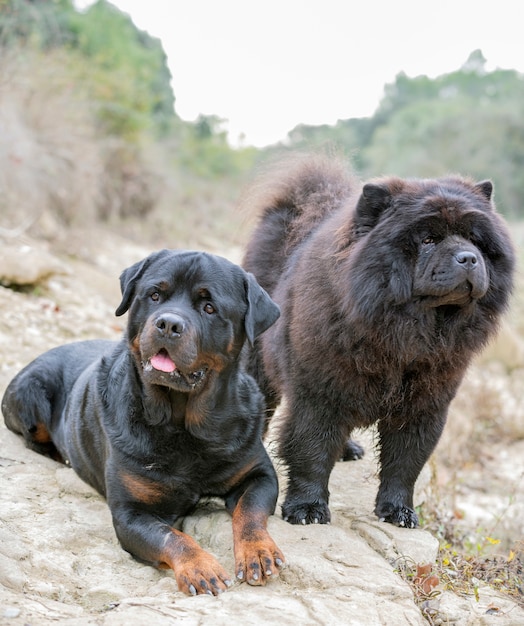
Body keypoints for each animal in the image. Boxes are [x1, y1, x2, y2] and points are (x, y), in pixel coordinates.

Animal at [2, 246, 284, 592]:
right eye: (154, 295)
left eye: (209, 307)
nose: (168, 324)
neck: (182, 425)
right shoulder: (131, 513)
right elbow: (171, 537)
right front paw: (200, 567)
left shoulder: (258, 473)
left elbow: (251, 511)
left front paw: (258, 551)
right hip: (30, 394)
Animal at [243, 154, 516, 524]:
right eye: (427, 240)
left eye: (475, 239)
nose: (469, 258)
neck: (405, 335)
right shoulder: (319, 392)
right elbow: (311, 449)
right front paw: (307, 508)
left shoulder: (426, 404)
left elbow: (406, 462)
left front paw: (399, 512)